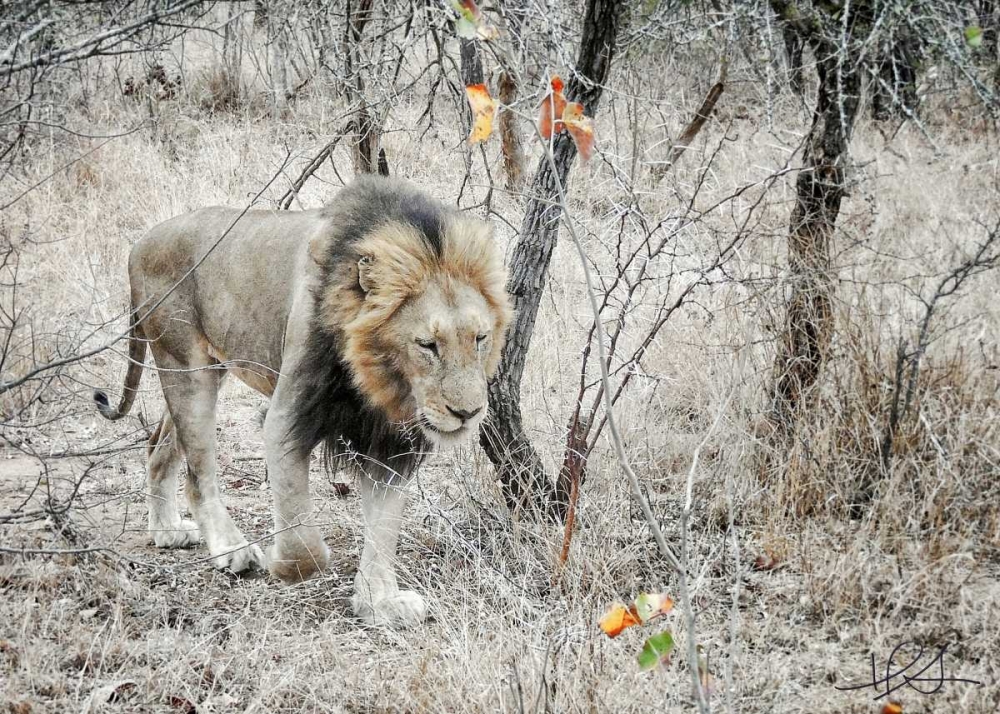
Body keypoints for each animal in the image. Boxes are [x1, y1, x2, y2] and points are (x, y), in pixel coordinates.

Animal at [94, 176, 512, 627]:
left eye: (480, 338)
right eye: (427, 345)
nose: (467, 413)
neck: (378, 380)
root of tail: (140, 242)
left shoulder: (391, 443)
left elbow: (384, 529)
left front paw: (379, 602)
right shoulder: (286, 416)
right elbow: (303, 537)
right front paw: (286, 565)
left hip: (205, 367)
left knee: (159, 446)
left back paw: (166, 528)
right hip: (186, 368)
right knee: (199, 471)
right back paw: (231, 547)